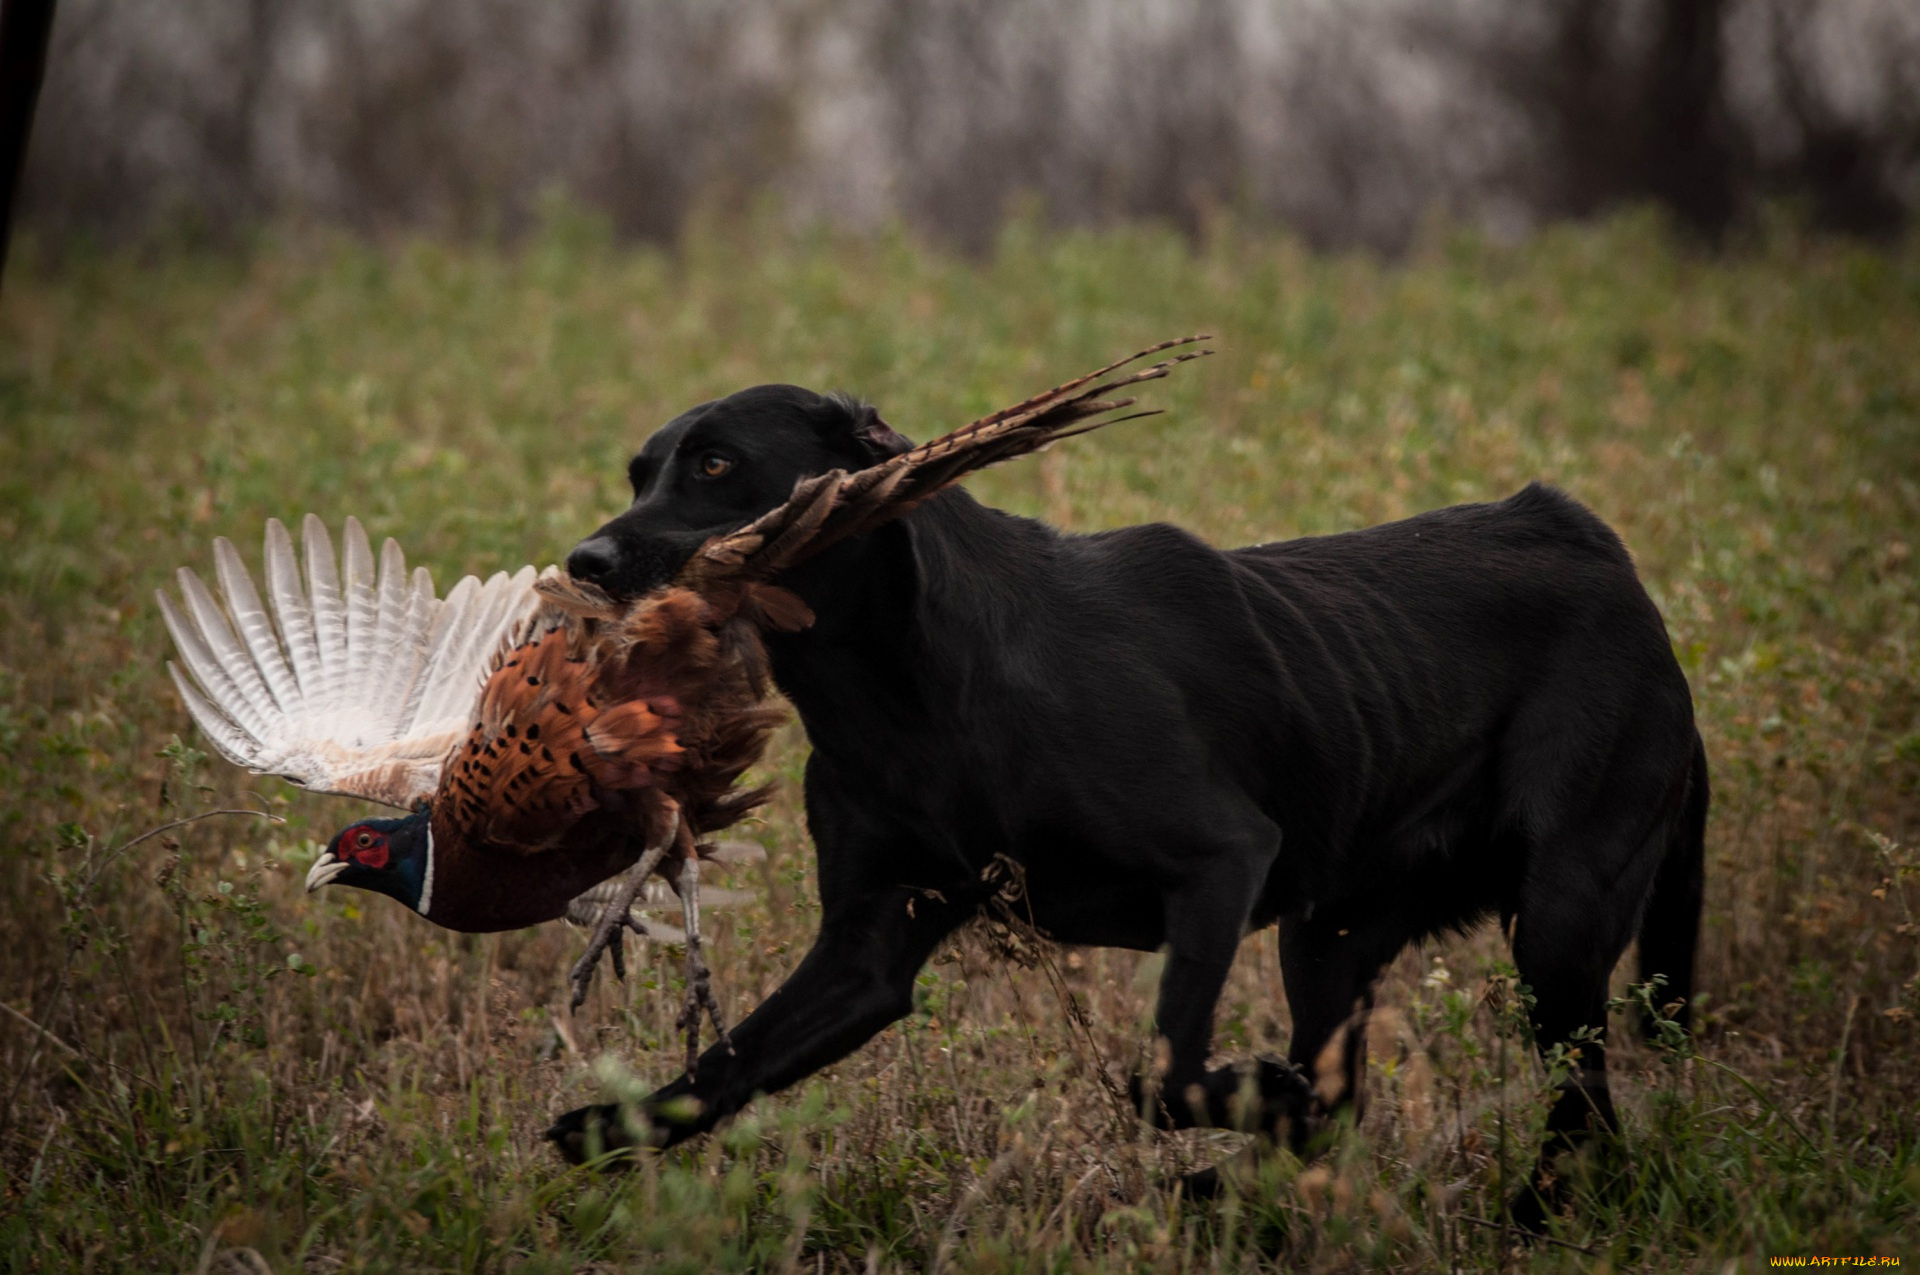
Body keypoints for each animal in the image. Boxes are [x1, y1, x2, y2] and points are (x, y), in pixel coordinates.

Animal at [545, 380, 1712, 1228]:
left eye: (717, 463)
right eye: (641, 472)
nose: (584, 561)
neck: (900, 688)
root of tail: (1597, 550)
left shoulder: (1221, 861)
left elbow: (1161, 1072)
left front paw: (1251, 1098)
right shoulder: (866, 953)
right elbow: (722, 1067)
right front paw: (600, 1125)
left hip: (1559, 920)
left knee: (1583, 1103)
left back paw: (1525, 1213)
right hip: (1330, 936)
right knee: (1349, 1100)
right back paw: (1243, 1191)